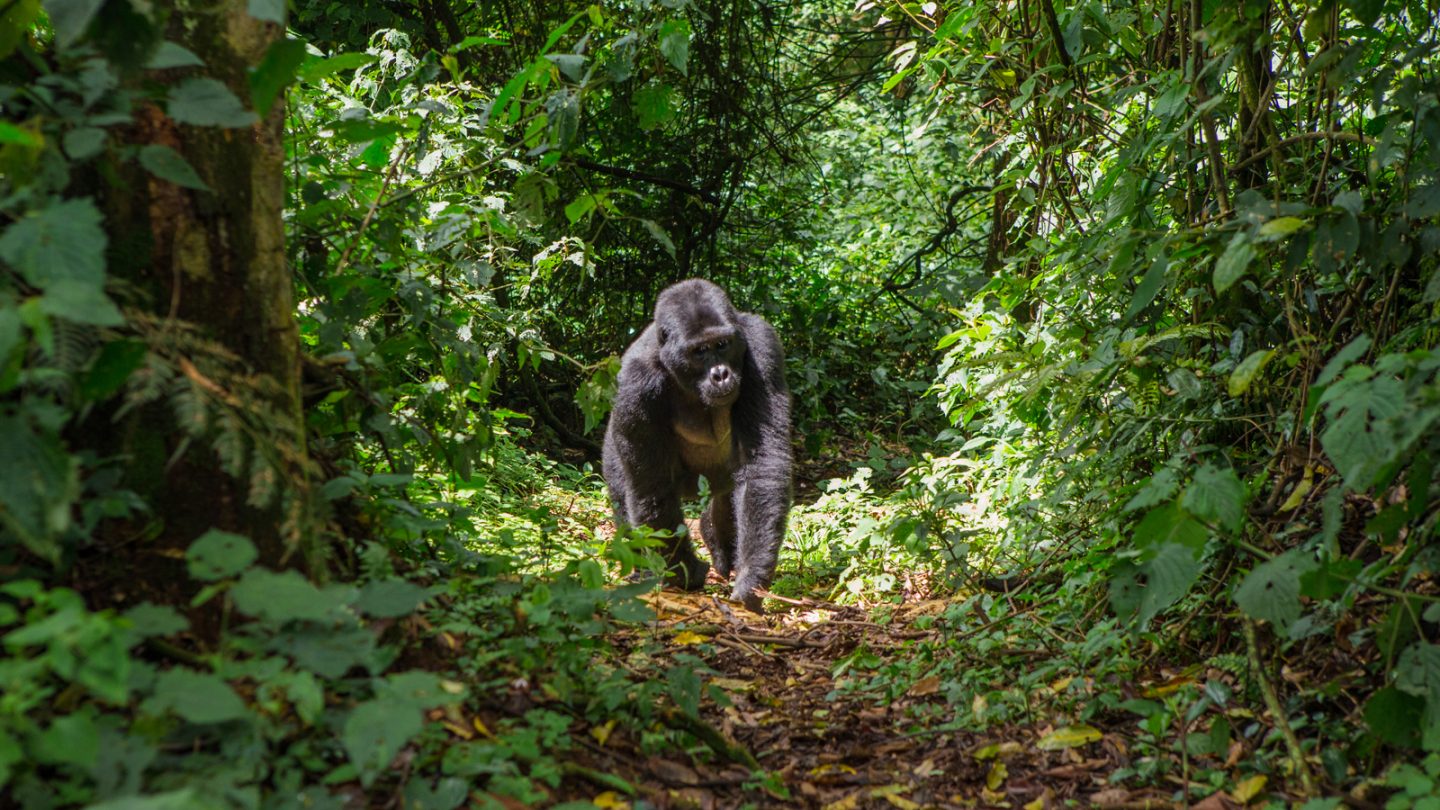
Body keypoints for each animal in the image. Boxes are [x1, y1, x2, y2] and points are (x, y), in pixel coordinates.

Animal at [602, 279, 792, 612]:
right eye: (700, 351)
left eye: (723, 345)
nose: (721, 374)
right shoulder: (636, 383)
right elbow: (653, 487)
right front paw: (685, 573)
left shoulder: (762, 345)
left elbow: (762, 464)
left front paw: (751, 578)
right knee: (625, 493)